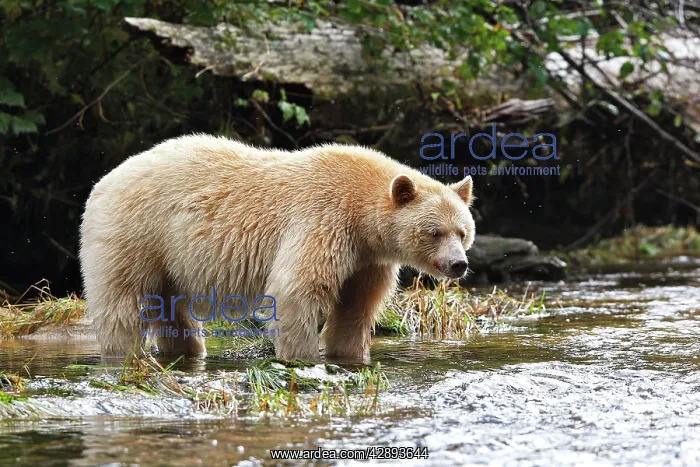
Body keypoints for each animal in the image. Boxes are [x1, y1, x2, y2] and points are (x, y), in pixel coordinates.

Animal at [79, 134, 475, 362]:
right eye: (435, 232)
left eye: (463, 231)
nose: (459, 265)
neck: (362, 214)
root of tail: (102, 182)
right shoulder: (323, 219)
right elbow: (297, 289)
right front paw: (302, 358)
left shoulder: (367, 258)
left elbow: (357, 305)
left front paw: (347, 354)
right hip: (135, 233)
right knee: (123, 301)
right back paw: (123, 353)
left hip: (168, 256)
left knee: (169, 306)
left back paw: (186, 350)